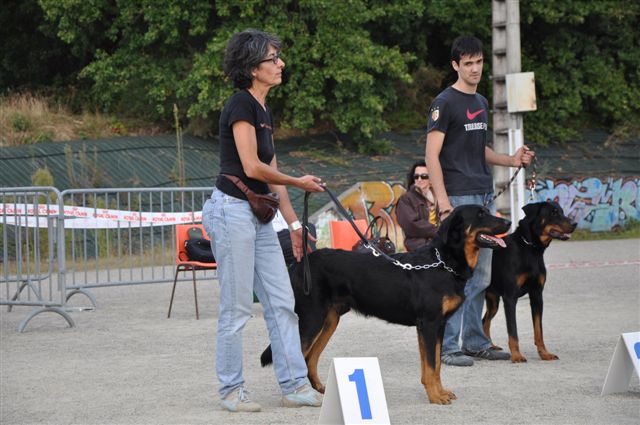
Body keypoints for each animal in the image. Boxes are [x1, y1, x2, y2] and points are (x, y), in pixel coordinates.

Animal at [260, 205, 510, 404]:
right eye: (480, 214)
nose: (508, 222)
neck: (443, 263)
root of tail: (300, 264)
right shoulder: (429, 323)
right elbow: (431, 365)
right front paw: (435, 397)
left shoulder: (437, 325)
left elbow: (434, 366)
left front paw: (438, 392)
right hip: (311, 319)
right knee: (297, 355)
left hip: (329, 321)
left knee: (310, 358)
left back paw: (320, 390)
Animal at [482, 201, 576, 362]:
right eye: (553, 213)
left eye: (562, 211)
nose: (575, 223)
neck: (531, 248)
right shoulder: (510, 297)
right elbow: (513, 331)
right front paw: (516, 356)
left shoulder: (537, 295)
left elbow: (539, 330)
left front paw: (544, 353)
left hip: (493, 300)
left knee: (484, 321)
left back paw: (491, 346)